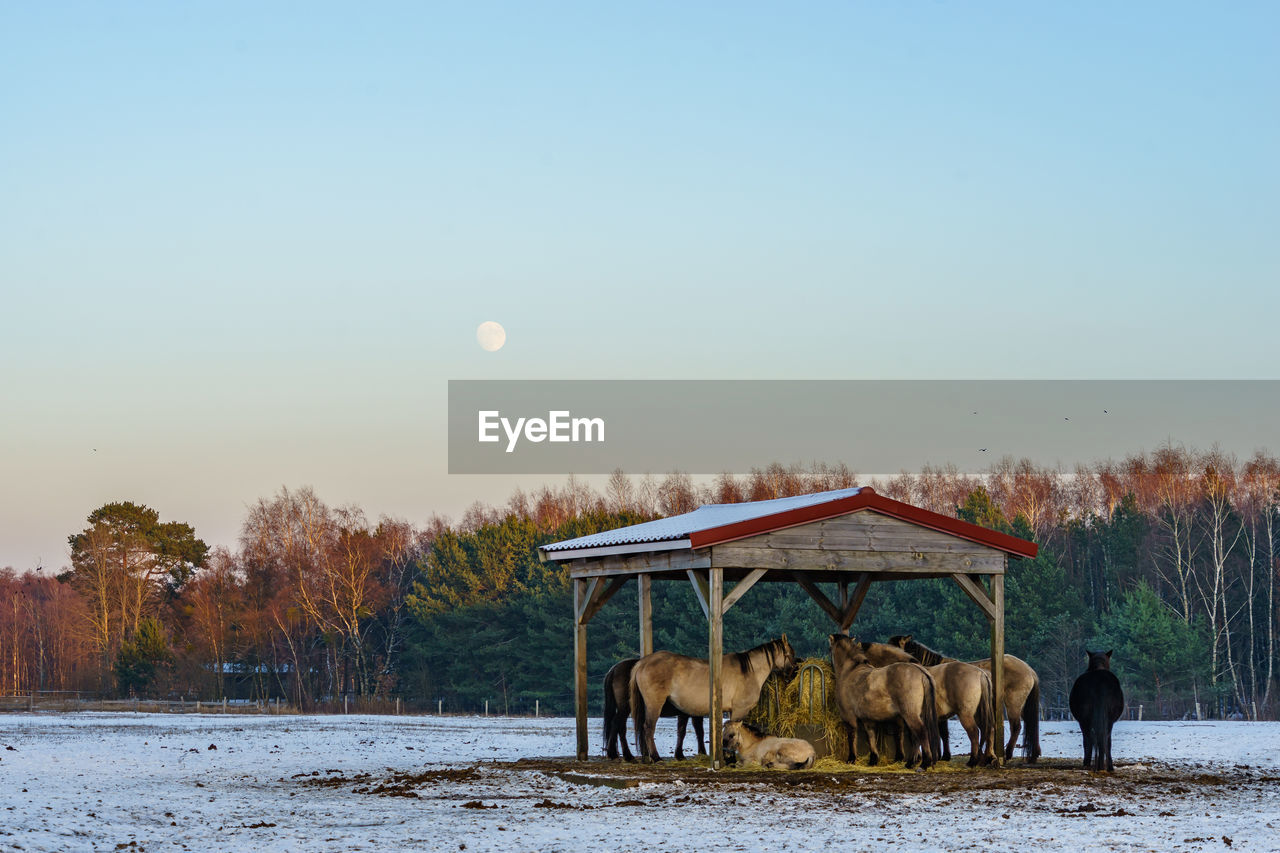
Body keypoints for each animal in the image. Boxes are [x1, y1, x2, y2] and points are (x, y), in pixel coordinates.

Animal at [627, 635, 793, 758]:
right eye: (791, 654)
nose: (793, 672)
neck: (749, 671)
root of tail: (643, 662)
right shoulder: (739, 710)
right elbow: (733, 730)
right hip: (654, 704)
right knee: (648, 727)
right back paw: (655, 757)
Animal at [829, 627, 942, 768]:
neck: (850, 671)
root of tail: (921, 671)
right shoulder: (867, 719)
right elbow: (871, 737)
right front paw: (873, 759)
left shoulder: (849, 717)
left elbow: (852, 736)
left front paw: (851, 759)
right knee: (915, 736)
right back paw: (911, 762)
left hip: (910, 714)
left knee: (920, 733)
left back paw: (924, 763)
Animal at [890, 635, 1039, 758]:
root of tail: (1029, 670)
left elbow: (942, 733)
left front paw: (944, 756)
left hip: (1013, 704)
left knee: (1016, 727)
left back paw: (1007, 754)